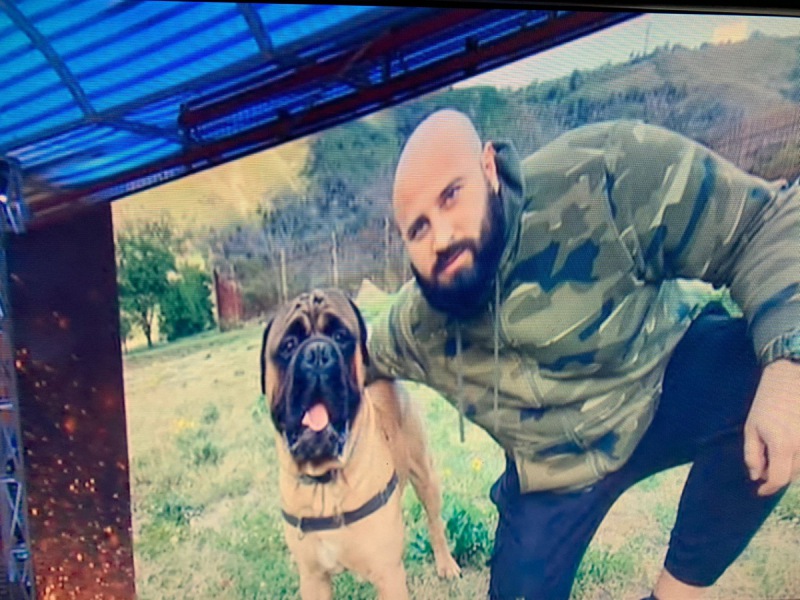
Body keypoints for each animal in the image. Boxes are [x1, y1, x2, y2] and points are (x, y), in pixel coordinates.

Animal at [260, 288, 461, 599]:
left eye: (341, 336)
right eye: (289, 345)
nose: (318, 353)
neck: (325, 481)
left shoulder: (388, 574)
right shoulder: (313, 578)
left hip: (425, 475)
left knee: (435, 521)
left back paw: (446, 564)